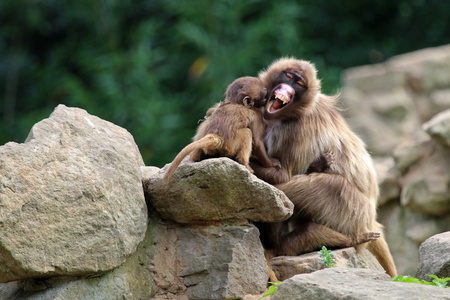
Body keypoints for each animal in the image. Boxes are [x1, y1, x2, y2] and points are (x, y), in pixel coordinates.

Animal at [253, 57, 398, 278]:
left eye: (299, 83)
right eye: (288, 76)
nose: (288, 87)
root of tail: (371, 219)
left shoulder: (294, 130)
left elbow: (282, 177)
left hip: (355, 212)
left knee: (329, 186)